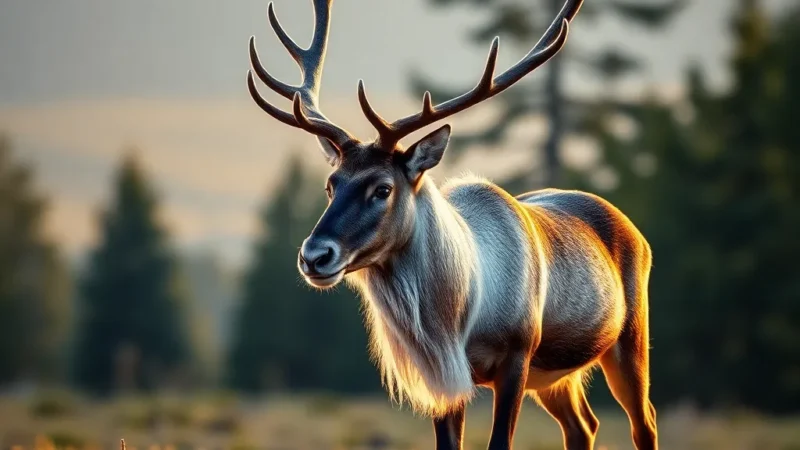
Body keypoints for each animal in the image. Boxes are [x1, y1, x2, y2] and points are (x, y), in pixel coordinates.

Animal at [246, 0, 658, 449]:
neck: (459, 322)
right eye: (330, 183)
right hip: (557, 377)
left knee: (645, 421)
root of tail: (636, 232)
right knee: (583, 425)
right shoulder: (442, 379)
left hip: (629, 338)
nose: (314, 255)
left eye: (383, 188)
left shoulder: (517, 356)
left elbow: (501, 441)